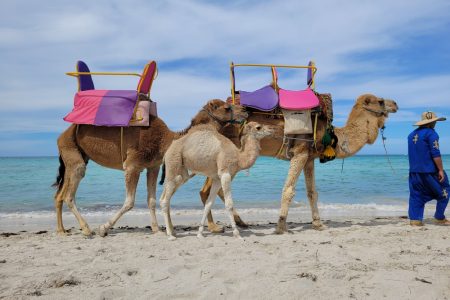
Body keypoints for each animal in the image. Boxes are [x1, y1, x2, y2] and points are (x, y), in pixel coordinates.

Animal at [55, 99, 250, 237]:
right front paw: (104, 228)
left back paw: (62, 231)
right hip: (73, 153)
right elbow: (130, 202)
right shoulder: (132, 166)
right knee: (69, 194)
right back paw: (86, 229)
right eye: (226, 107)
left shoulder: (153, 166)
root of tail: (62, 134)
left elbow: (152, 200)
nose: (245, 110)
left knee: (60, 194)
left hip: (76, 155)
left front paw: (157, 229)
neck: (165, 139)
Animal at [200, 92, 398, 233]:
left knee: (209, 190)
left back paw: (233, 223)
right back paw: (215, 227)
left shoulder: (309, 158)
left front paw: (318, 224)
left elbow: (312, 193)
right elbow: (289, 189)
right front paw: (280, 226)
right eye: (380, 101)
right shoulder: (300, 152)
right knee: (210, 190)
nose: (395, 104)